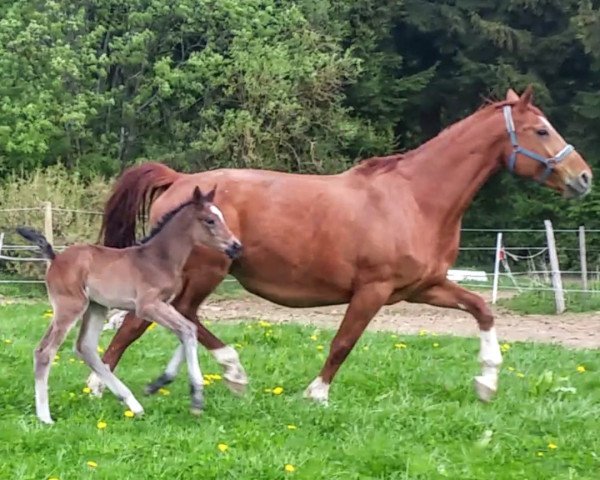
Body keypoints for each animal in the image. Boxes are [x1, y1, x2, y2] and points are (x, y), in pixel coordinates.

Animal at [19, 187, 244, 424]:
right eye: (210, 220)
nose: (236, 246)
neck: (159, 258)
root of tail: (55, 258)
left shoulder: (166, 304)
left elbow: (188, 330)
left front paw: (161, 383)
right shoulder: (147, 306)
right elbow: (188, 330)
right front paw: (197, 398)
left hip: (96, 306)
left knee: (85, 347)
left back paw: (132, 403)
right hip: (70, 306)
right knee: (45, 351)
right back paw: (45, 417)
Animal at [89, 86, 592, 404]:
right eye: (542, 130)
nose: (584, 177)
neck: (416, 198)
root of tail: (179, 181)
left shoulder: (424, 287)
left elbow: (483, 309)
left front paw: (486, 383)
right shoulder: (372, 290)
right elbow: (343, 342)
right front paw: (316, 394)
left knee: (182, 320)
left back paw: (232, 374)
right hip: (201, 274)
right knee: (145, 323)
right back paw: (105, 385)